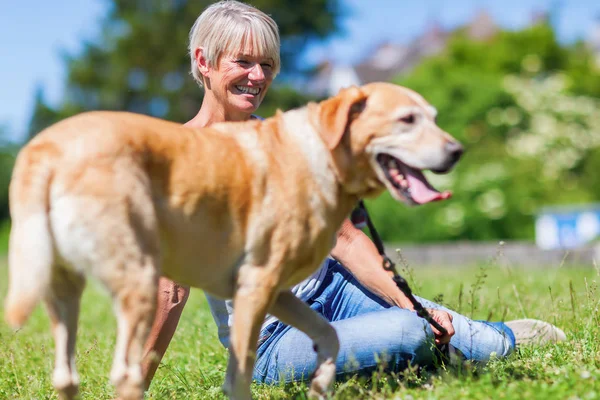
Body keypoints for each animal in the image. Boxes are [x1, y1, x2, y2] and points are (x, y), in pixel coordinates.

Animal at [4, 82, 462, 400]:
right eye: (407, 119)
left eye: (434, 116)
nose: (458, 150)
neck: (321, 153)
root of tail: (47, 148)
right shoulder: (254, 289)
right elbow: (239, 377)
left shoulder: (277, 293)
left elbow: (329, 334)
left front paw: (321, 386)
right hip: (140, 283)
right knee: (126, 375)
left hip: (65, 291)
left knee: (66, 377)